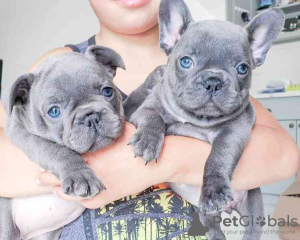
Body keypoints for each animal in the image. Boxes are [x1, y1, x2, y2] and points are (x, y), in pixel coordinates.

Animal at [0, 45, 125, 240]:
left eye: (107, 91)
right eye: (54, 111)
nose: (91, 117)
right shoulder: (20, 132)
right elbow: (55, 150)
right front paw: (79, 174)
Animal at [125, 0, 284, 239]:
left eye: (242, 68)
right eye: (185, 62)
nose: (213, 80)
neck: (196, 118)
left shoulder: (234, 129)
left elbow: (219, 155)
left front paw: (214, 190)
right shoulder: (147, 108)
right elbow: (153, 118)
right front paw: (148, 141)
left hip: (253, 203)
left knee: (252, 228)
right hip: (207, 218)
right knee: (213, 228)